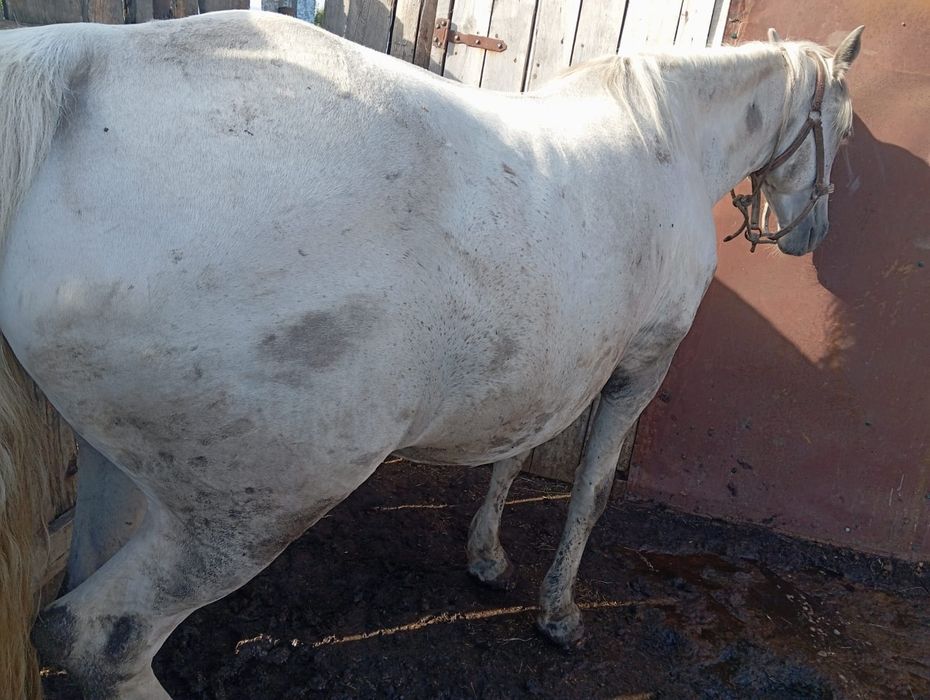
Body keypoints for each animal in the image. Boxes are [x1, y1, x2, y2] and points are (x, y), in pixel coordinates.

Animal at [0, 11, 862, 697]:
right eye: (846, 131)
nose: (809, 235)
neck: (664, 139)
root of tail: (80, 64)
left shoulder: (553, 362)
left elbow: (514, 456)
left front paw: (486, 558)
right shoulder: (639, 369)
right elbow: (587, 495)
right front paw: (558, 614)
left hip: (122, 468)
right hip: (247, 510)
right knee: (95, 641)